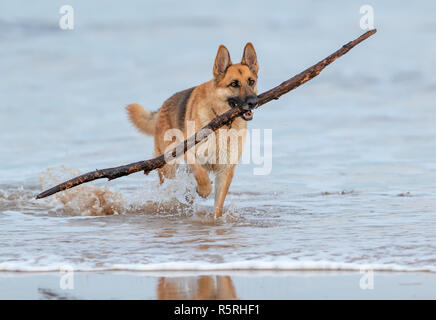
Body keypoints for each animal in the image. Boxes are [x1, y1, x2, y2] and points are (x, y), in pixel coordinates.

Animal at [125, 43, 258, 218]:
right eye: (234, 84)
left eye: (251, 81)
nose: (254, 102)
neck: (221, 121)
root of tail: (162, 107)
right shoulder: (188, 150)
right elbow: (200, 174)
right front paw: (205, 189)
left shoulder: (226, 170)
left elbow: (218, 206)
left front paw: (215, 219)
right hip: (169, 166)